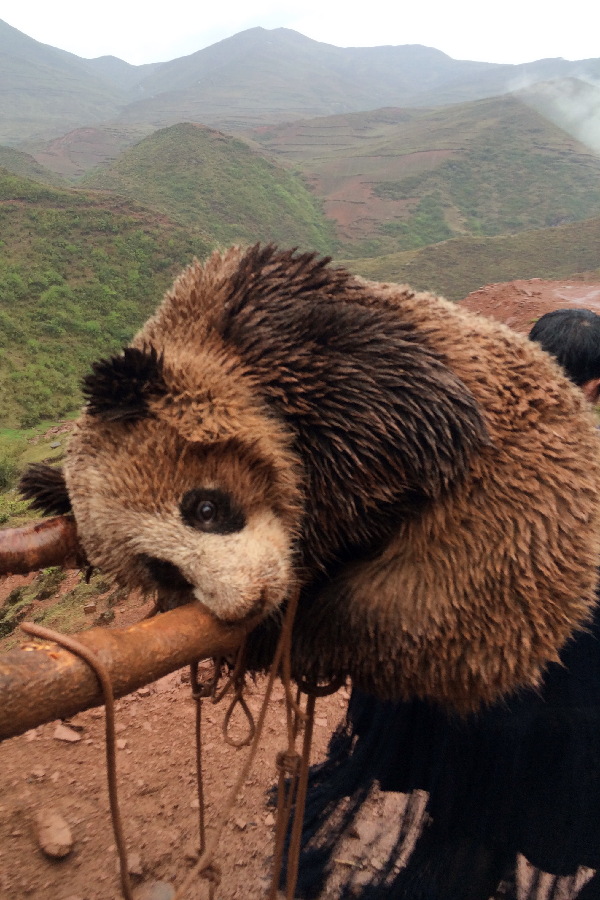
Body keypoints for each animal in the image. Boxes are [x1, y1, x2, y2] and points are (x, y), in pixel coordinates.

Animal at [21, 244, 600, 712]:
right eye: (164, 570)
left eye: (204, 507)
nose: (248, 601)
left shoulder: (309, 339)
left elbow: (418, 423)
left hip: (490, 565)